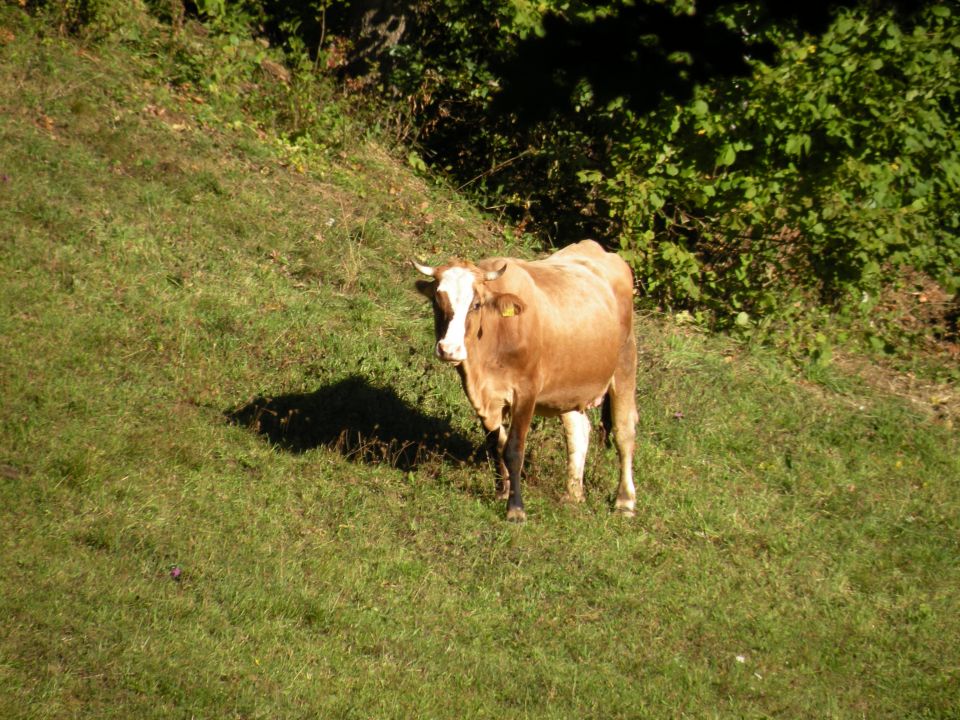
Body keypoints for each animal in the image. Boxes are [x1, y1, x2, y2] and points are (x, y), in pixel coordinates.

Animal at [412, 239, 636, 520]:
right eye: (436, 301)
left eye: (476, 304)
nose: (449, 349)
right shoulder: (483, 396)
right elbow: (495, 445)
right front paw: (501, 491)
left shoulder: (525, 392)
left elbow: (514, 449)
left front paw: (515, 508)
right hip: (568, 385)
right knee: (578, 430)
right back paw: (573, 494)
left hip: (625, 364)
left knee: (624, 432)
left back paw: (625, 501)